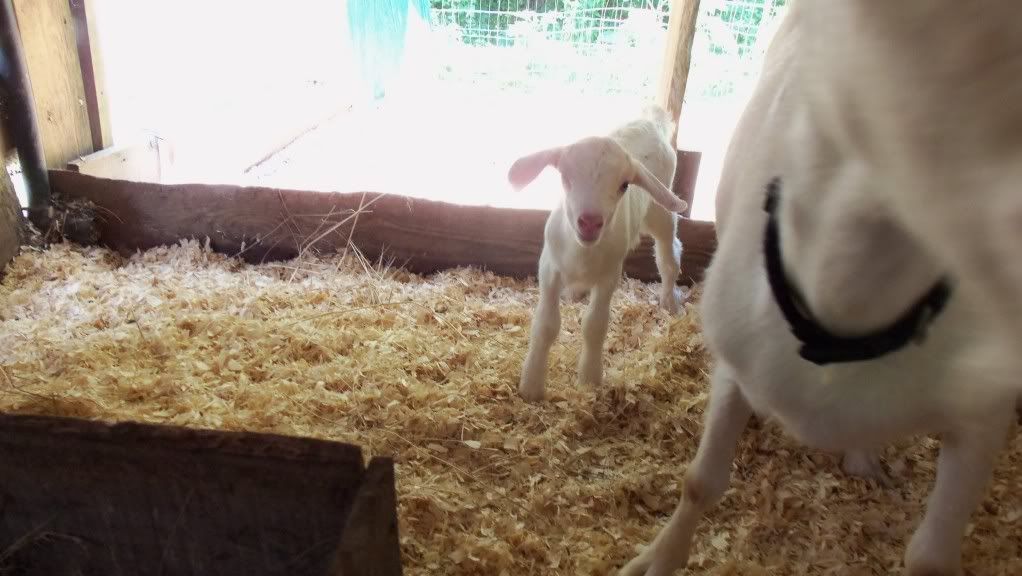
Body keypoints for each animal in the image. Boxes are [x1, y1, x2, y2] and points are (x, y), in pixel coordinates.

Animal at [509, 106, 688, 402]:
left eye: (624, 185)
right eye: (565, 177)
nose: (590, 222)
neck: (582, 253)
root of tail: (650, 119)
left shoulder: (609, 276)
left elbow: (595, 325)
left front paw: (590, 378)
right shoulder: (549, 268)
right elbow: (546, 325)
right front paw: (532, 385)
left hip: (660, 210)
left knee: (668, 254)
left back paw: (669, 300)